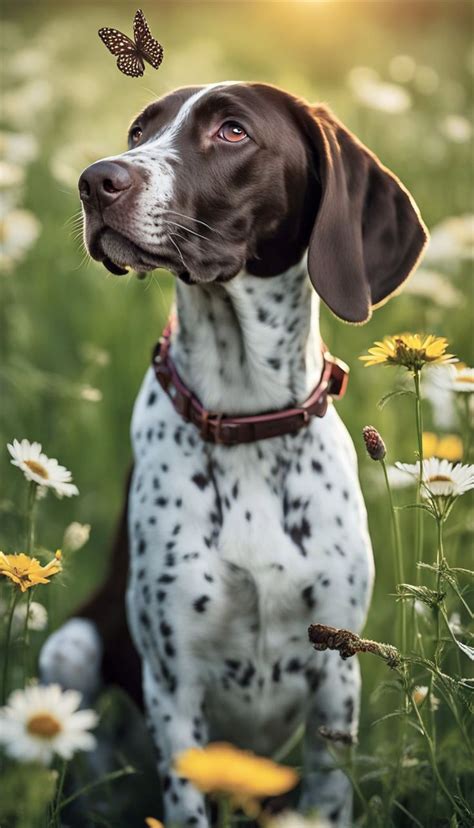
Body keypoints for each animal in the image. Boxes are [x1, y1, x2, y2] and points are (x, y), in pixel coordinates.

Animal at [39, 81, 426, 824]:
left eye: (233, 131)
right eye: (139, 130)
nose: (95, 181)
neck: (247, 417)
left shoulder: (338, 672)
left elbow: (328, 797)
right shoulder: (175, 684)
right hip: (70, 647)